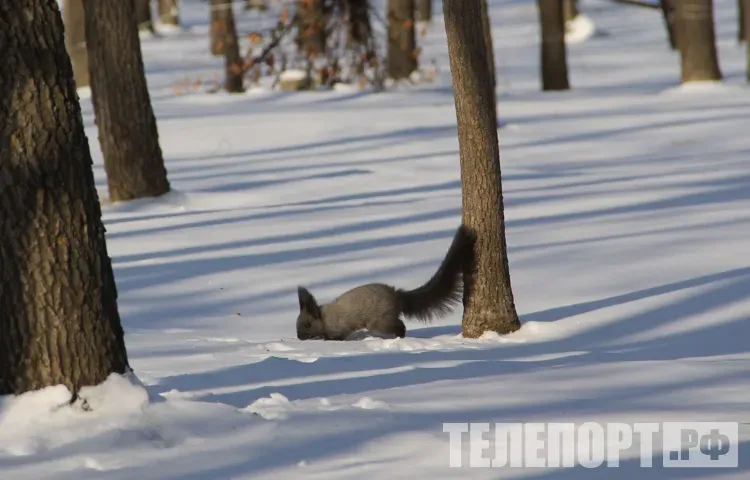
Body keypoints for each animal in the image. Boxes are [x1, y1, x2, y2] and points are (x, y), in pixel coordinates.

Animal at [296, 226, 472, 342]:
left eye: (307, 325)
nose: (299, 337)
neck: (323, 317)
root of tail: (397, 296)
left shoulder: (338, 328)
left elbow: (337, 337)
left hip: (379, 321)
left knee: (400, 325)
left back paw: (399, 337)